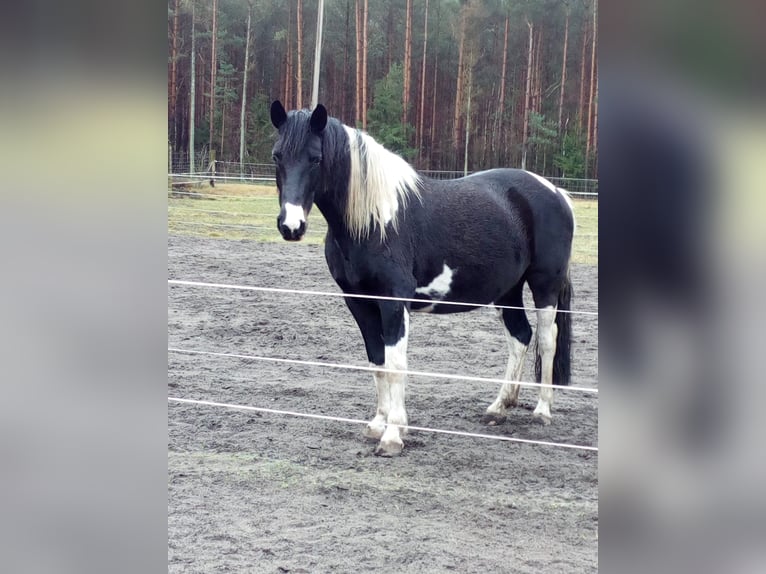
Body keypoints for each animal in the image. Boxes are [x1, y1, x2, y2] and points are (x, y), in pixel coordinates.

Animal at [269, 100, 574, 457]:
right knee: (520, 337)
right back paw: (499, 407)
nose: (291, 226)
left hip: (545, 285)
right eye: (277, 156)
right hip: (507, 291)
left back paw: (542, 411)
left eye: (316, 158)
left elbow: (396, 365)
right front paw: (378, 424)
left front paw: (393, 435)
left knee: (546, 339)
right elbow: (377, 361)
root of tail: (556, 192)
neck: (374, 221)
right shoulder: (359, 303)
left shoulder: (393, 301)